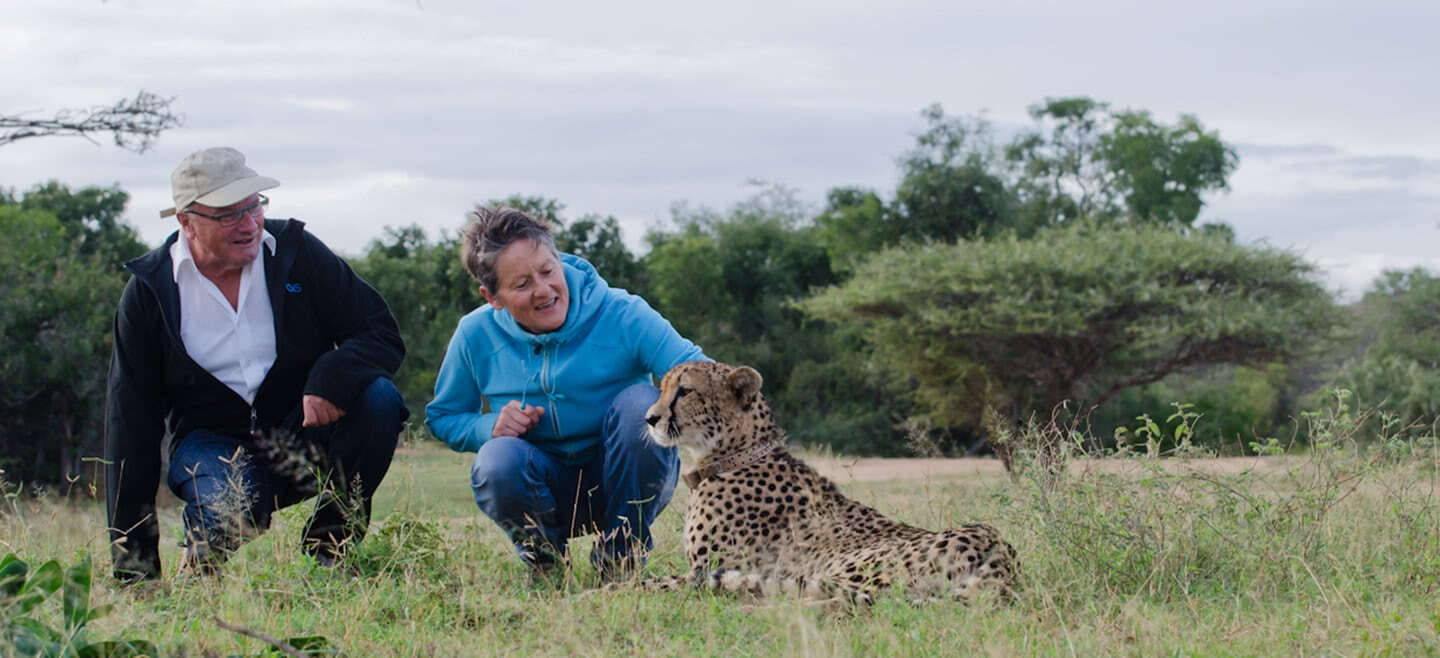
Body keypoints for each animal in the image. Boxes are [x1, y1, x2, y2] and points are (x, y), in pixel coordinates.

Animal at [636, 360, 1019, 605]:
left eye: (685, 391)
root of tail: (997, 549)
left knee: (851, 603)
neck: (736, 453)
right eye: (663, 388)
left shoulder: (703, 570)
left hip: (845, 568)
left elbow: (651, 582)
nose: (650, 418)